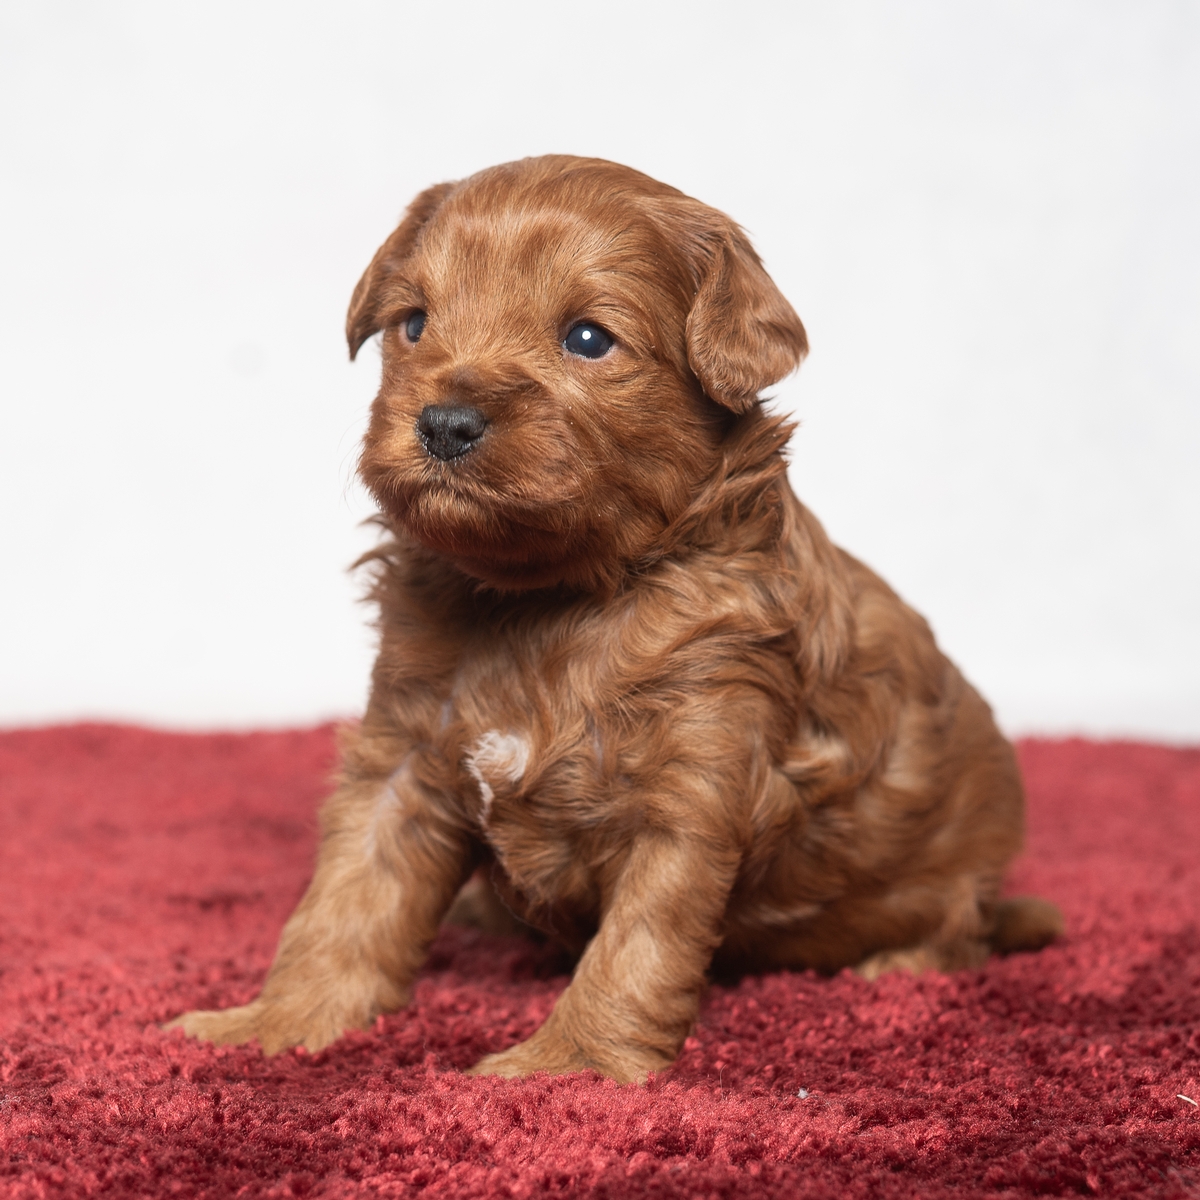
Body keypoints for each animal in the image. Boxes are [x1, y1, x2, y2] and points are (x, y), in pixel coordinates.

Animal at [169, 155, 1062, 1082]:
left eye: (590, 339)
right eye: (413, 323)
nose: (444, 423)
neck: (547, 602)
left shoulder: (696, 781)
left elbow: (640, 942)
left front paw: (568, 1065)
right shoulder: (404, 761)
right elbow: (349, 897)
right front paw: (279, 1021)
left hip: (958, 886)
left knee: (961, 932)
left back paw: (901, 961)